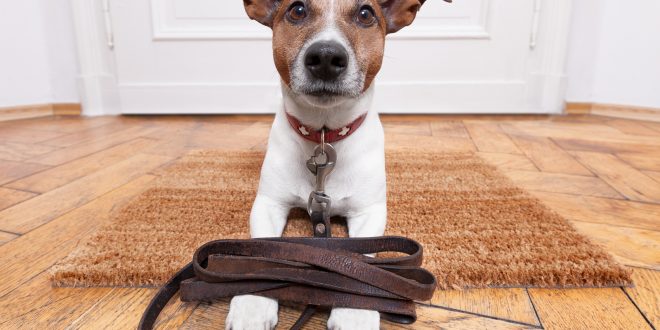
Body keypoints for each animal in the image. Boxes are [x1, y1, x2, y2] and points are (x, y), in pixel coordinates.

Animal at [227, 0, 434, 330]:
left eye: (366, 13)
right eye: (297, 10)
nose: (325, 56)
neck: (324, 135)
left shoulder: (369, 211)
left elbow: (358, 257)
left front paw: (355, 312)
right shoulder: (268, 203)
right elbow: (263, 249)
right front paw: (252, 302)